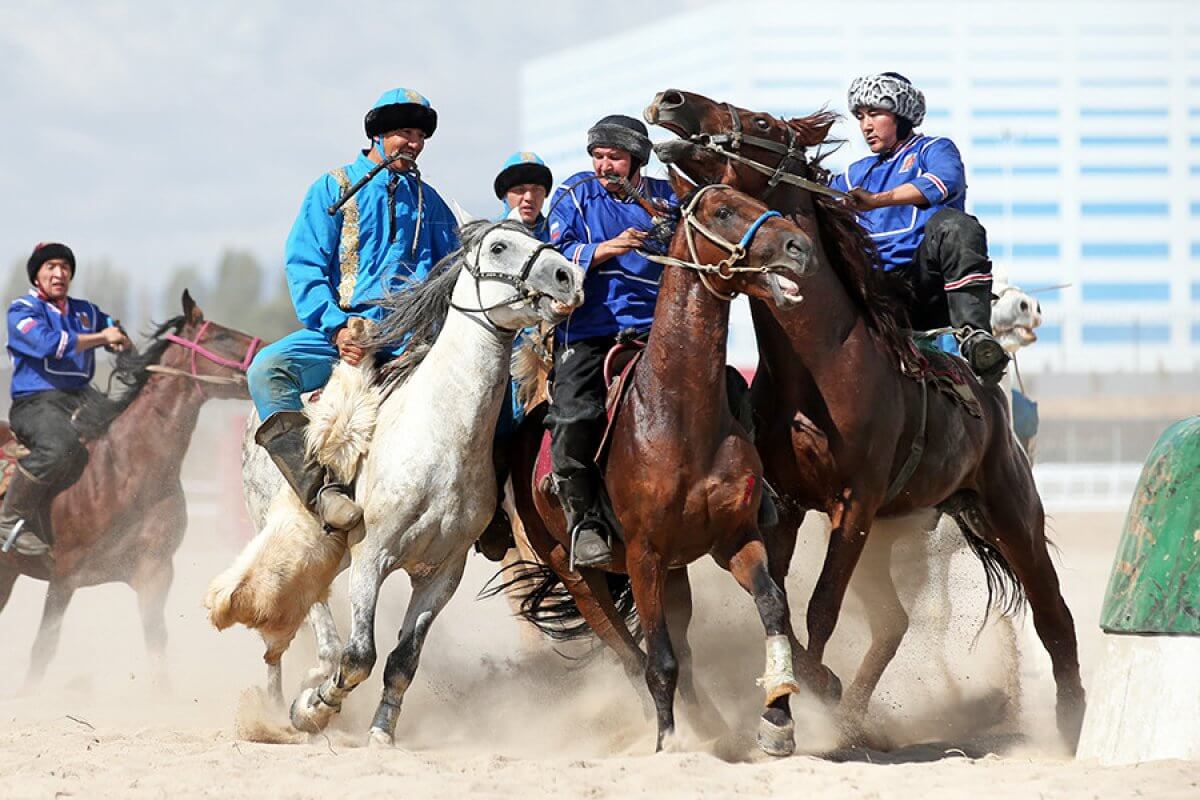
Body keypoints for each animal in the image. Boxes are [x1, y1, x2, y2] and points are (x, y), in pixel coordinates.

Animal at [0, 293, 261, 690]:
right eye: (220, 336)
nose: (268, 351)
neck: (123, 470)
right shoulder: (63, 577)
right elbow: (43, 648)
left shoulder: (154, 571)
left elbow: (157, 644)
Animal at [208, 220, 583, 743]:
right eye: (499, 246)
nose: (568, 277)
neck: (439, 437)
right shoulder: (372, 556)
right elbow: (359, 656)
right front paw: (314, 708)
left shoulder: (441, 574)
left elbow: (403, 660)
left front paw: (382, 731)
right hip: (295, 539)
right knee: (304, 623)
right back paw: (280, 706)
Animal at [501, 175, 820, 758]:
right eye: (723, 211)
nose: (799, 247)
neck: (678, 415)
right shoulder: (644, 557)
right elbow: (659, 662)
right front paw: (667, 743)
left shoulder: (734, 538)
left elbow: (772, 607)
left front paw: (778, 716)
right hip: (578, 574)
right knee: (630, 654)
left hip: (675, 575)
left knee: (681, 655)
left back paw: (713, 727)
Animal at [648, 89, 1089, 753]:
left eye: (759, 120)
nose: (670, 101)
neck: (823, 365)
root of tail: (991, 402)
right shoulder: (790, 504)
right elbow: (781, 601)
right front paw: (808, 699)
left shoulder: (853, 503)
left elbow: (821, 607)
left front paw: (799, 706)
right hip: (894, 532)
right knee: (893, 621)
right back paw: (858, 717)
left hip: (1011, 510)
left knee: (1053, 613)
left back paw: (1068, 726)